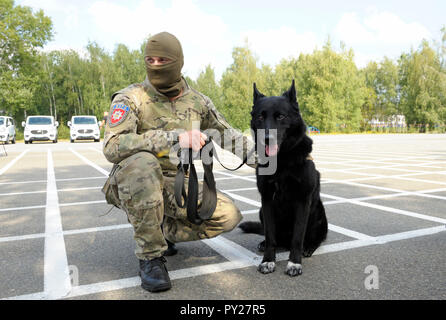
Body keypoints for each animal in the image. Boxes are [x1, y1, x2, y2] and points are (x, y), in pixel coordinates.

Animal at [239, 80, 330, 278]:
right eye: (260, 117)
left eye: (280, 116)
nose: (267, 139)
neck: (281, 162)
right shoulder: (267, 201)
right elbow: (270, 236)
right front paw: (268, 260)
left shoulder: (302, 201)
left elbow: (297, 237)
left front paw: (294, 263)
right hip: (261, 211)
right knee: (274, 237)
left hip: (317, 212)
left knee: (316, 237)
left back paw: (309, 247)